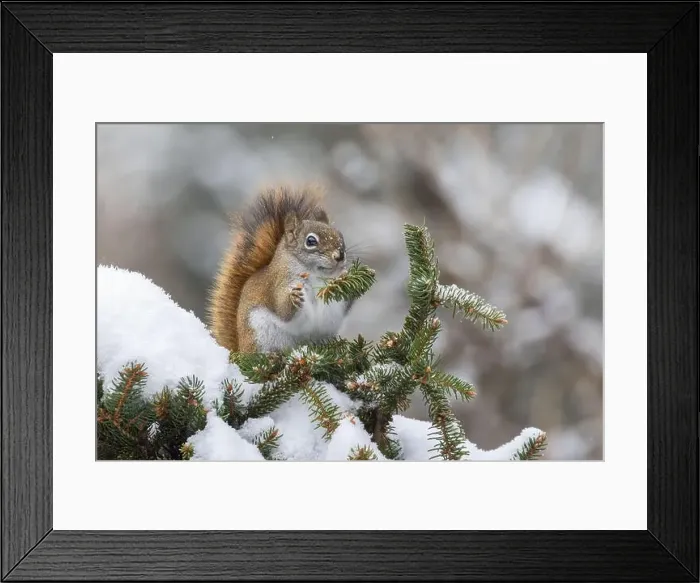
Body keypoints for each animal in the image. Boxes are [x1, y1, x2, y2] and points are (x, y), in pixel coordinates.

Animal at [207, 184, 354, 354]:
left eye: (340, 235)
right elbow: (282, 310)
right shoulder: (278, 284)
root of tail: (241, 350)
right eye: (311, 241)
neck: (315, 275)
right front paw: (293, 298)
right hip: (260, 335)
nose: (340, 255)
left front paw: (346, 277)